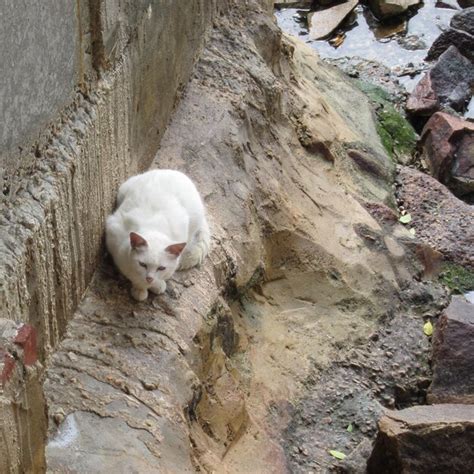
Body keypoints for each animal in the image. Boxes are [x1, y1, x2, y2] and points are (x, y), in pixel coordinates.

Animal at [107, 169, 211, 300]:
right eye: (142, 264)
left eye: (161, 268)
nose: (149, 278)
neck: (154, 227)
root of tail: (173, 171)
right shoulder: (113, 237)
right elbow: (133, 276)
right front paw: (140, 290)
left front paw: (157, 285)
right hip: (123, 189)